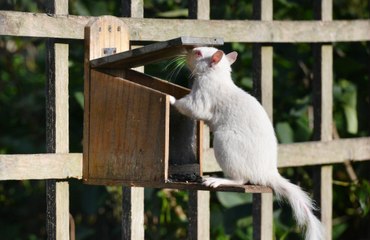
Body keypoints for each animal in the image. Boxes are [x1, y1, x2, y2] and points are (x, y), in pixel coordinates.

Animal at [170, 47, 324, 240]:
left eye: (197, 53)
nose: (185, 54)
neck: (216, 75)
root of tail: (266, 173)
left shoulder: (204, 96)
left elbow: (192, 107)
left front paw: (171, 99)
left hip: (225, 144)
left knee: (241, 180)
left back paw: (217, 180)